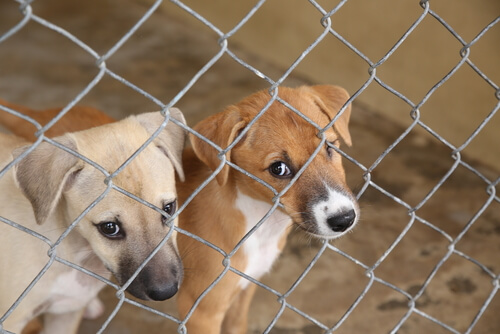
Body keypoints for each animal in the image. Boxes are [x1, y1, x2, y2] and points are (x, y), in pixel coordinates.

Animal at [178, 85, 358, 334]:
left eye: (329, 146)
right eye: (278, 168)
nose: (344, 219)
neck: (260, 224)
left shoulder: (245, 287)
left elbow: (237, 326)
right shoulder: (202, 312)